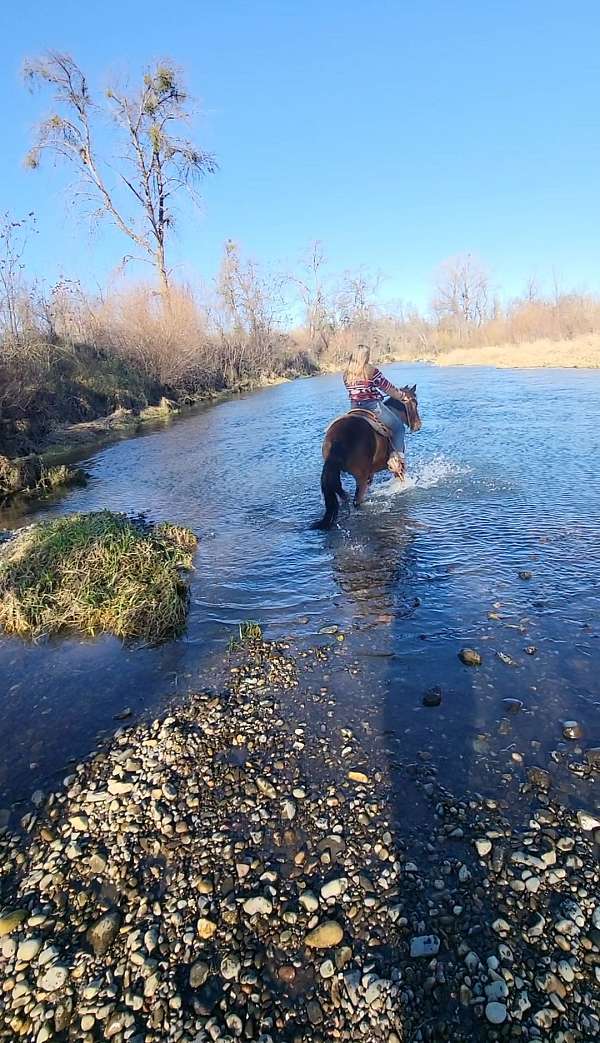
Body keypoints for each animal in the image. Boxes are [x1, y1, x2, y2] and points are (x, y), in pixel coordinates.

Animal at [313, 385, 425, 529]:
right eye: (415, 402)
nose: (418, 425)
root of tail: (338, 438)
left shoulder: (370, 474)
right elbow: (400, 475)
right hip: (360, 477)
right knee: (357, 501)